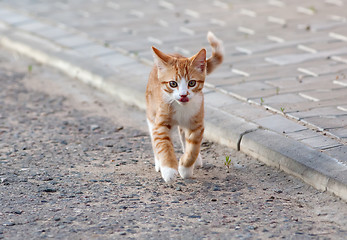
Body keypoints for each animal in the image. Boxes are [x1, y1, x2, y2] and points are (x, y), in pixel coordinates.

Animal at [146, 31, 223, 182]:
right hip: (151, 114)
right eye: (173, 84)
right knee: (154, 138)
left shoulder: (197, 125)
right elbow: (163, 146)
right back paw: (158, 163)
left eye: (192, 83)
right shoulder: (160, 124)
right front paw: (169, 170)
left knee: (183, 136)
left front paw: (185, 167)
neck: (181, 108)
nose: (183, 95)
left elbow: (193, 148)